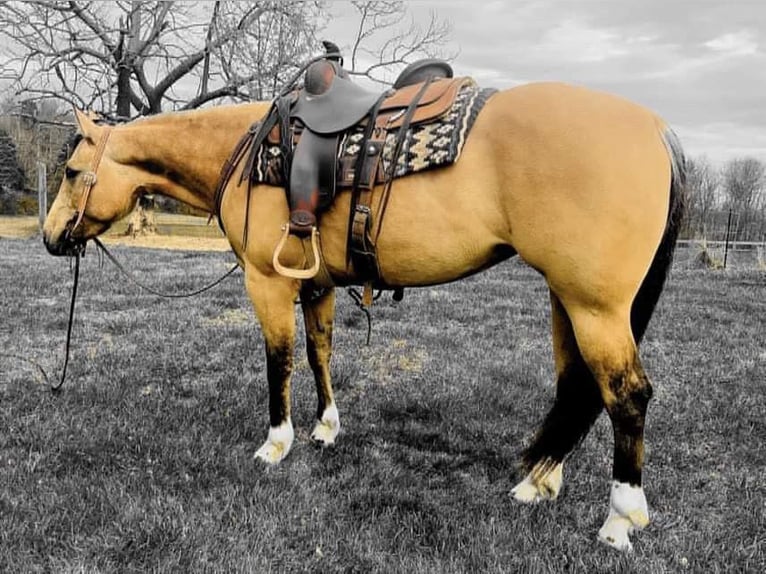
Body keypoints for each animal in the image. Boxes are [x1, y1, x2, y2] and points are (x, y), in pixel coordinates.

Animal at [43, 55, 688, 552]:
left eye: (72, 171)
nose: (51, 238)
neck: (245, 150)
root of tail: (656, 128)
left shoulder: (266, 282)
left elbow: (279, 360)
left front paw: (276, 443)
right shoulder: (318, 282)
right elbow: (319, 352)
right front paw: (326, 429)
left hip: (595, 307)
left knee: (626, 396)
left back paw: (620, 519)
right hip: (567, 299)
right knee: (576, 386)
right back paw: (539, 482)